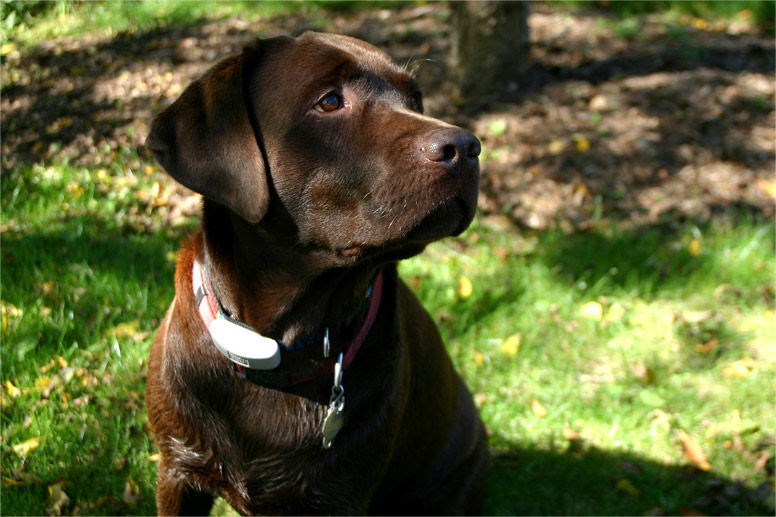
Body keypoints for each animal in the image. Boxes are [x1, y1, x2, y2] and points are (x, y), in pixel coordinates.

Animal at [142, 31, 488, 512]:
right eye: (329, 101)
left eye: (415, 98)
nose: (467, 147)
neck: (276, 346)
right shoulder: (177, 471)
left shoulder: (339, 496)